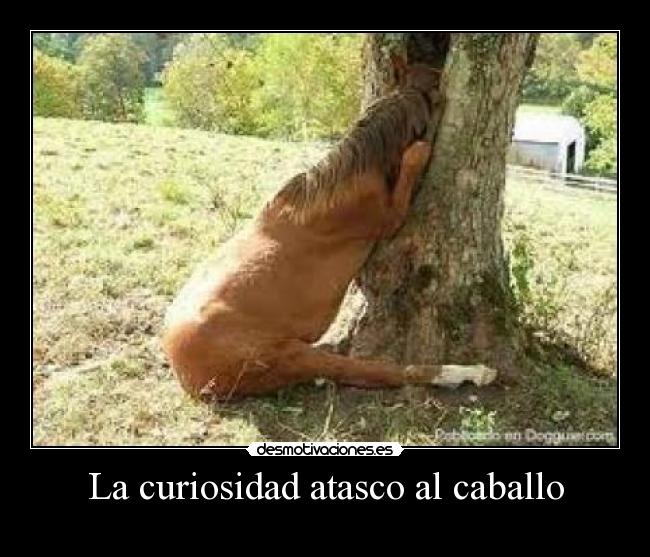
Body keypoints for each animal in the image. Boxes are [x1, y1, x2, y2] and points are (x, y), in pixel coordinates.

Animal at [162, 57, 497, 401]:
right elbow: (416, 155)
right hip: (292, 356)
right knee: (376, 371)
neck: (352, 173)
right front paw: (421, 147)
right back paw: (468, 372)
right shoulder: (390, 218)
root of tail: (181, 368)